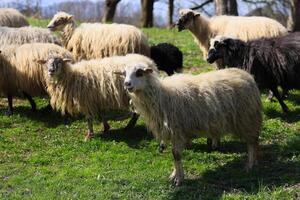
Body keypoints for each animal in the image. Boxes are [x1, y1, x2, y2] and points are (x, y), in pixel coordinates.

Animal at [123, 64, 262, 186]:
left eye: (139, 73)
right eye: (124, 74)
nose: (126, 84)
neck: (162, 96)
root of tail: (247, 75)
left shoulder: (177, 129)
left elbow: (176, 154)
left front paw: (179, 179)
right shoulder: (173, 132)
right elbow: (174, 155)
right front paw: (174, 175)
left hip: (247, 118)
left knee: (252, 143)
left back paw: (250, 165)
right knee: (255, 142)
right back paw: (255, 161)